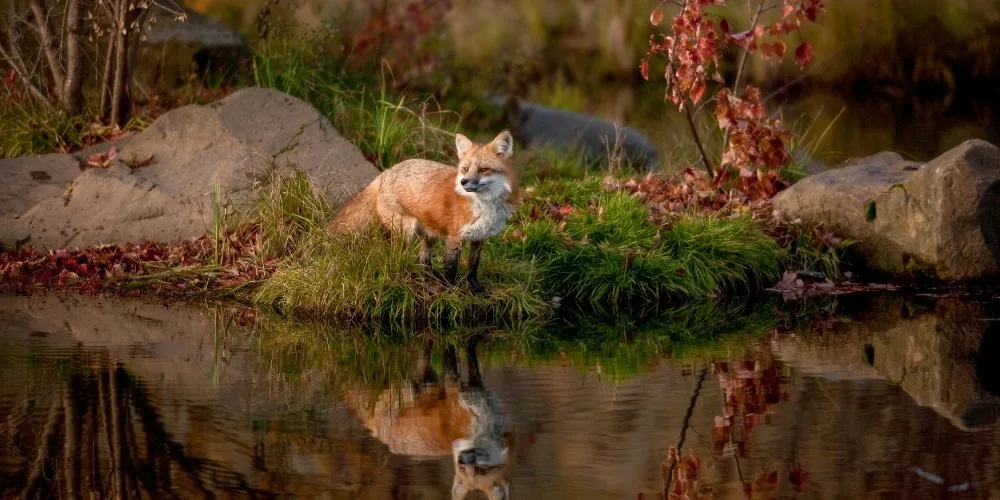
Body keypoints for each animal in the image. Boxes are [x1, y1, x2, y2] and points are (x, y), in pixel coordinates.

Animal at [328, 130, 519, 295]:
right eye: (465, 169)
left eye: (484, 169)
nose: (464, 182)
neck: (484, 206)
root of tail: (386, 172)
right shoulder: (454, 237)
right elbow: (451, 268)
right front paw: (451, 291)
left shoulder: (479, 238)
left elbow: (473, 267)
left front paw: (476, 289)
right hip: (406, 231)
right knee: (398, 258)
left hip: (429, 235)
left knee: (423, 261)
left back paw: (430, 278)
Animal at [341, 338, 515, 500]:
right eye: (462, 470)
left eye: (480, 470)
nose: (461, 460)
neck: (483, 421)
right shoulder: (454, 391)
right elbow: (450, 360)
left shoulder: (476, 387)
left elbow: (472, 361)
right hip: (410, 392)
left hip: (429, 379)